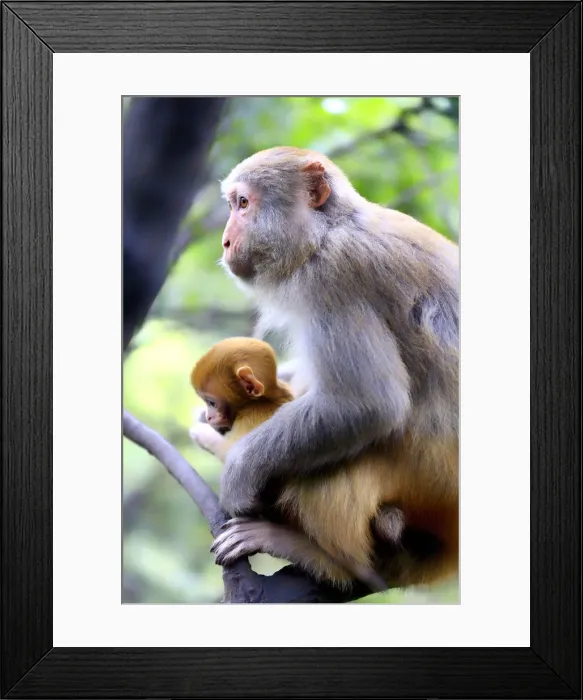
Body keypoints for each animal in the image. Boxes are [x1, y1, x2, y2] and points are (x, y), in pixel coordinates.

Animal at [212, 146, 459, 591]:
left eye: (243, 204)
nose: (225, 240)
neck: (328, 232)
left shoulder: (333, 277)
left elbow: (365, 404)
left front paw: (238, 475)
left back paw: (322, 558)